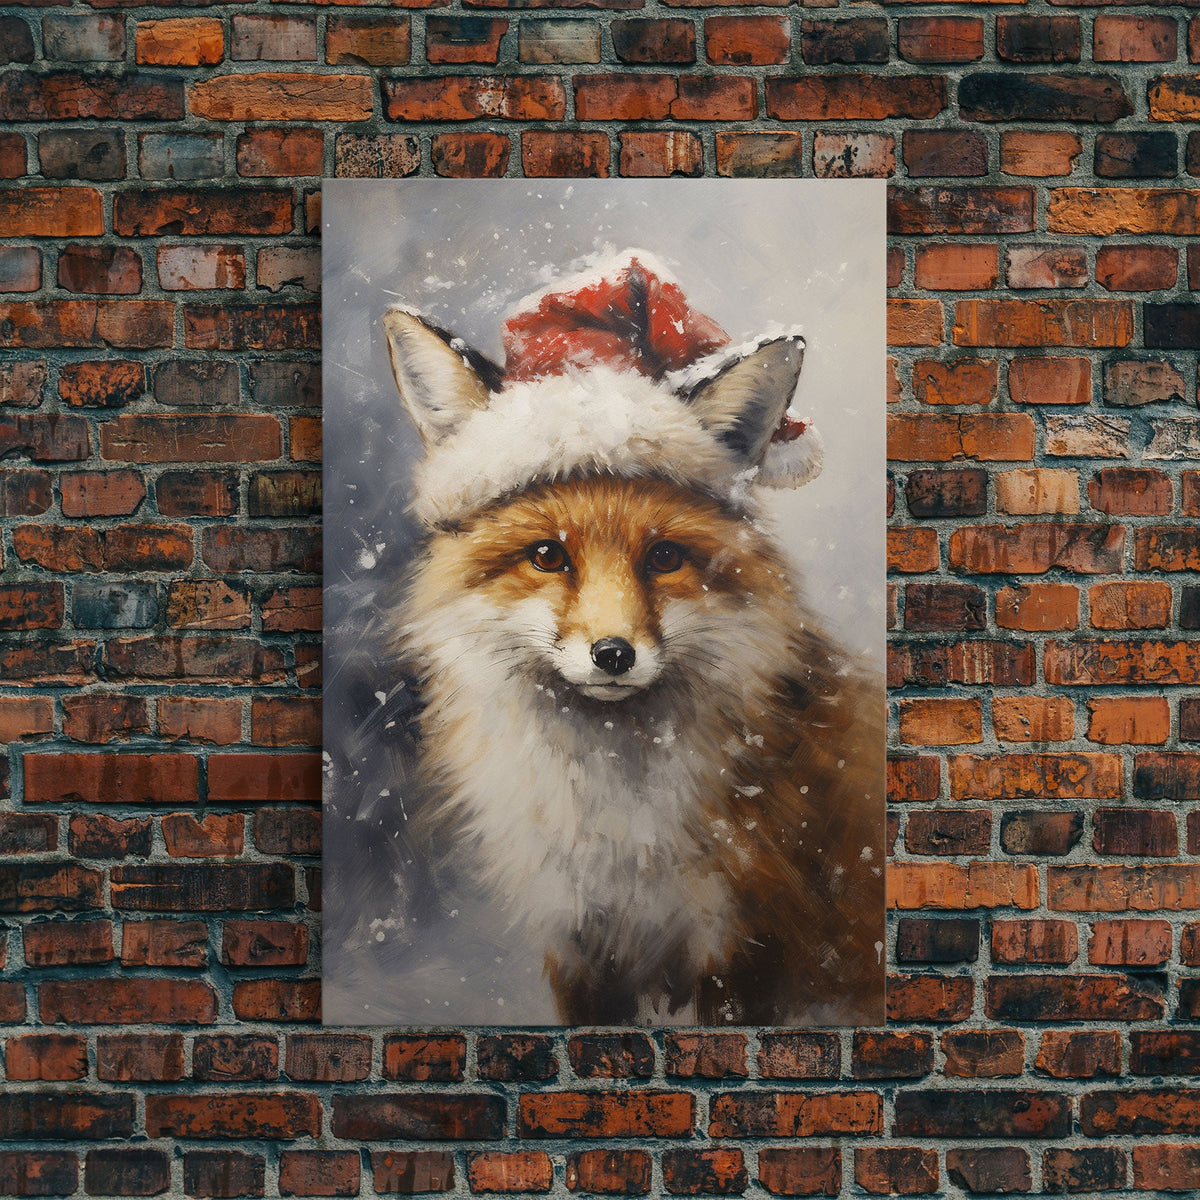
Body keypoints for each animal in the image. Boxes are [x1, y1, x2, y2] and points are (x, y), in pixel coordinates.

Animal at [380, 255, 884, 1025]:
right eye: (547, 555)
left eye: (665, 558)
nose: (613, 655)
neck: (613, 830)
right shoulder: (579, 944)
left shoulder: (740, 944)